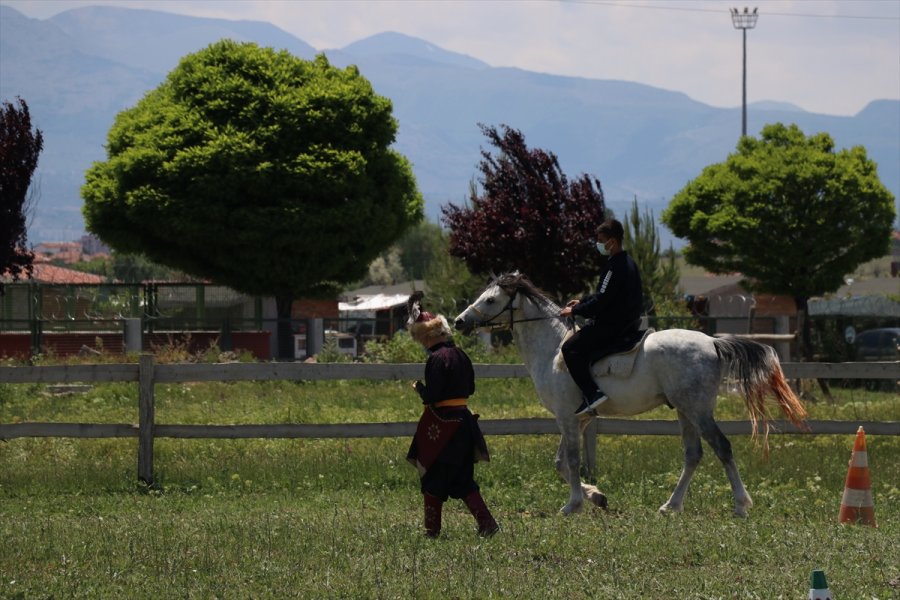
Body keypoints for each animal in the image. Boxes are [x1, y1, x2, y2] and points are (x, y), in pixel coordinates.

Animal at [454, 272, 812, 516]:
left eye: (490, 300)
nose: (459, 322)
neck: (553, 348)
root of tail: (712, 342)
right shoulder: (578, 420)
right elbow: (560, 463)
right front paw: (596, 497)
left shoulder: (567, 419)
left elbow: (572, 461)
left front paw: (573, 505)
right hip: (684, 411)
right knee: (693, 454)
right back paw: (671, 505)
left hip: (698, 410)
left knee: (722, 448)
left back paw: (740, 505)